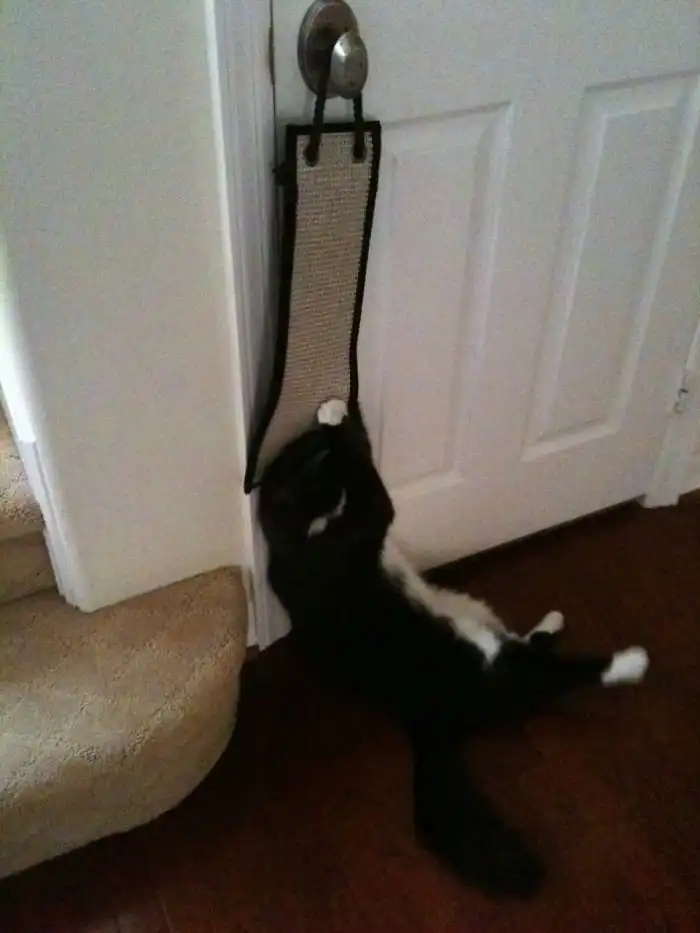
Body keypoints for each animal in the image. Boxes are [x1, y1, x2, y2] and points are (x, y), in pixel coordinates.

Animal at [258, 398, 649, 899]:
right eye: (311, 463)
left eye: (301, 454)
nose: (311, 440)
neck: (305, 530)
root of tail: (423, 717)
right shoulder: (360, 519)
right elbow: (370, 485)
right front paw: (339, 423)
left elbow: (363, 464)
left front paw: (337, 413)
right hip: (495, 664)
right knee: (547, 676)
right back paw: (629, 662)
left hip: (475, 613)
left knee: (529, 646)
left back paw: (553, 621)